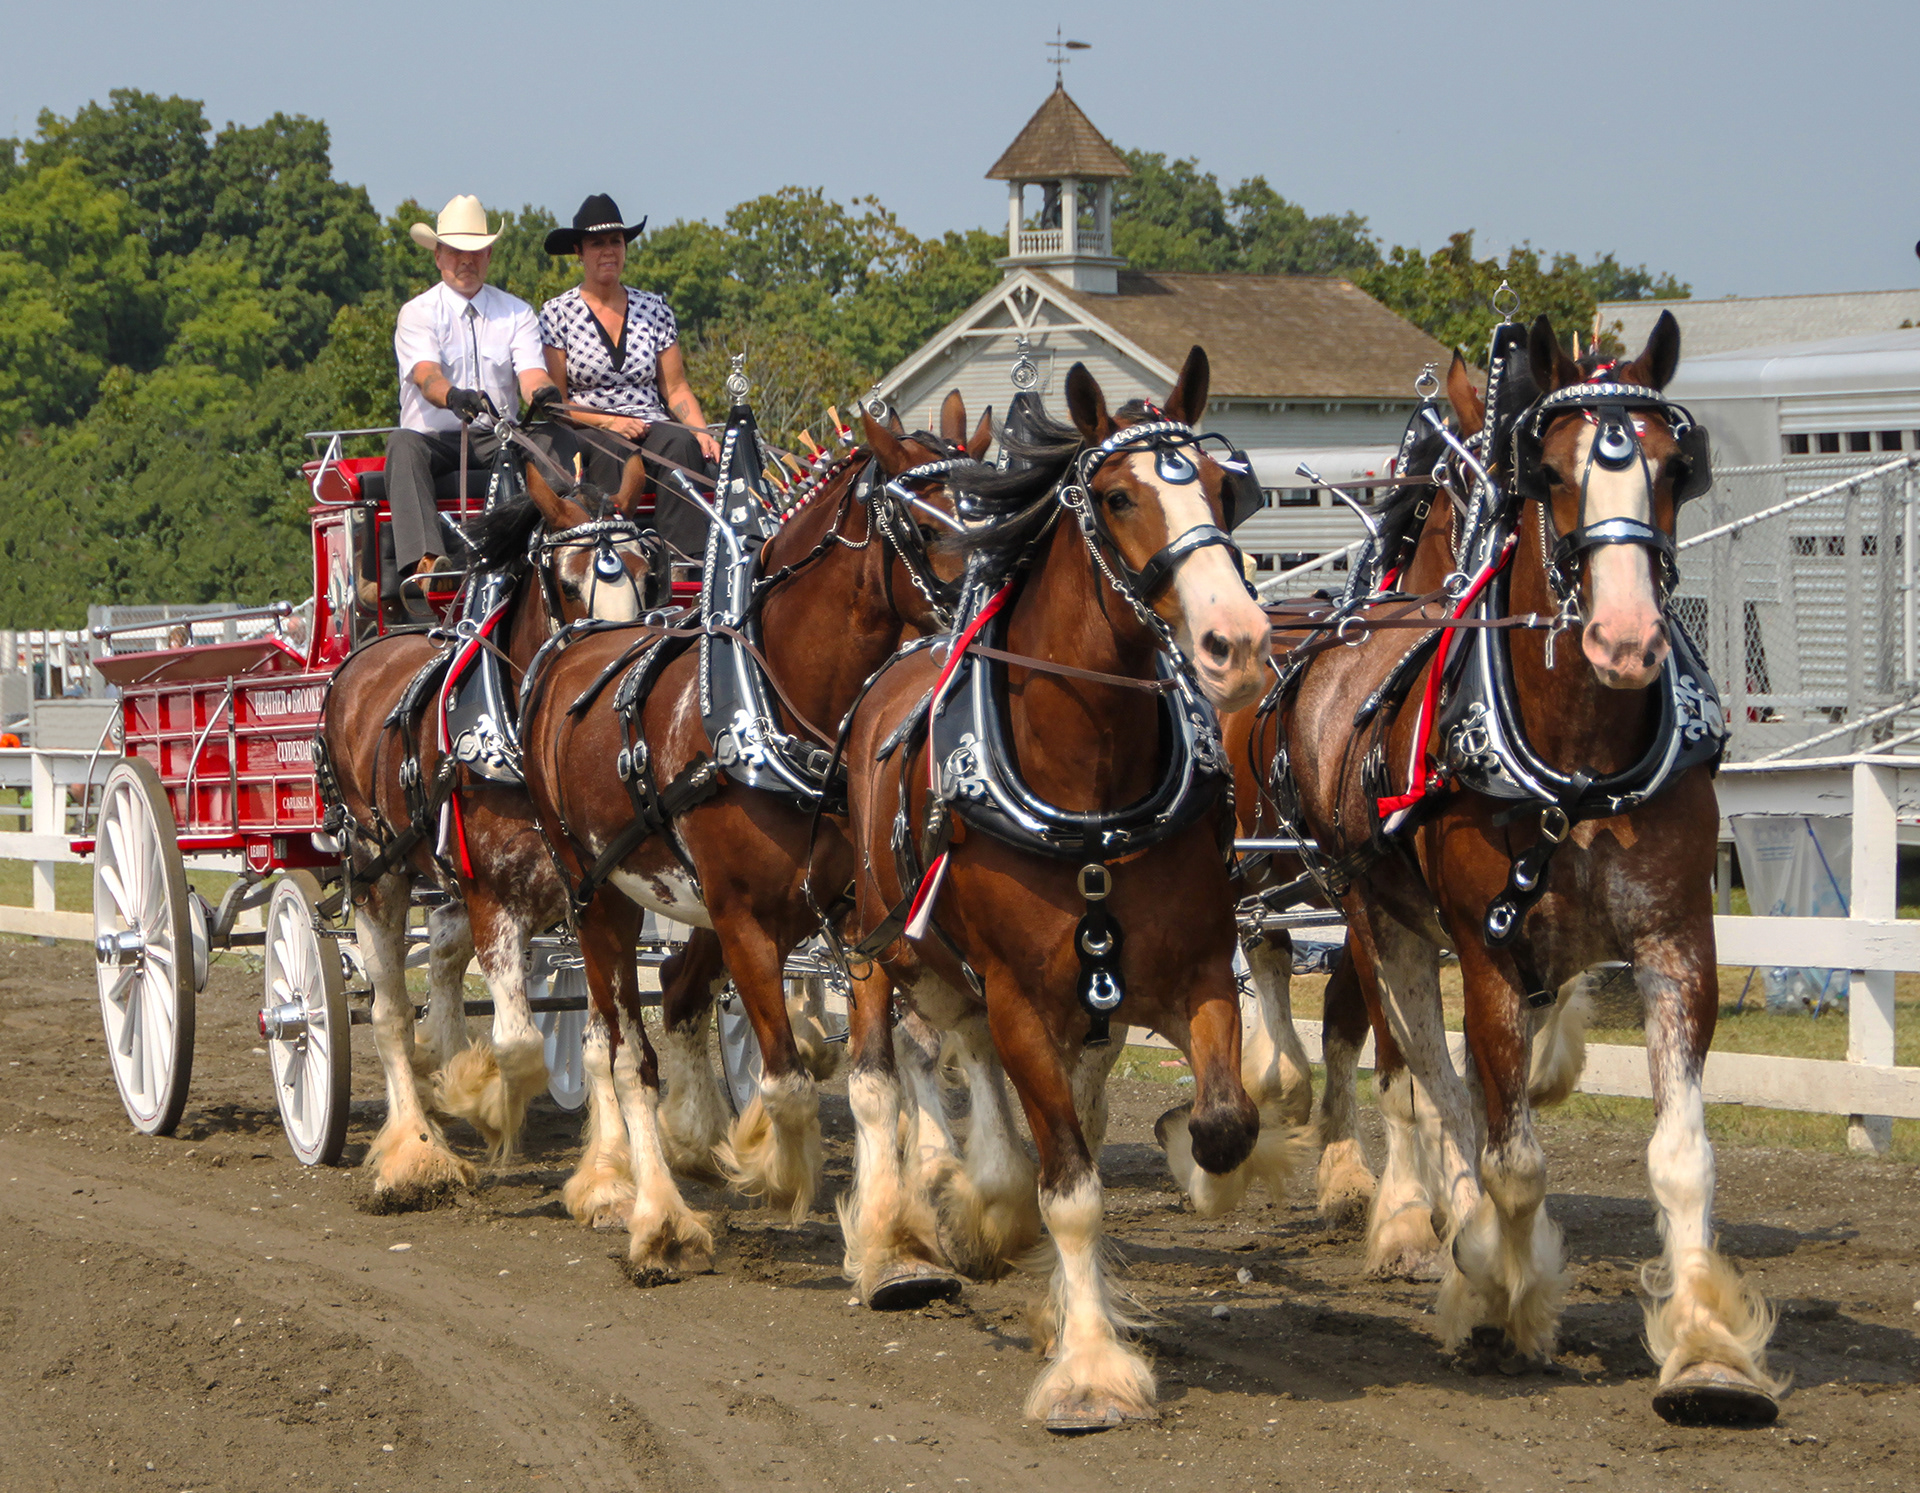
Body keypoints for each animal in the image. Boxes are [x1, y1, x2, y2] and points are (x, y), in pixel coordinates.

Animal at [316, 456, 659, 1202]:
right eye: (567, 584)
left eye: (648, 571)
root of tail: (363, 656)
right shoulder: (494, 899)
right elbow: (520, 1044)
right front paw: (482, 1098)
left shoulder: (588, 898)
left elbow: (600, 1039)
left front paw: (607, 1177)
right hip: (376, 868)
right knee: (388, 1012)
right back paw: (416, 1151)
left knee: (442, 962)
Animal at [515, 395, 989, 1279]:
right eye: (924, 525)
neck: (771, 712)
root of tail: (570, 647)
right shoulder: (743, 920)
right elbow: (788, 1081)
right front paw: (769, 1164)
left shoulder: (854, 916)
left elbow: (874, 1080)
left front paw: (893, 1240)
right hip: (596, 893)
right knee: (621, 1049)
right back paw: (652, 1212)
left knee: (677, 994)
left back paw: (684, 1144)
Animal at [839, 348, 1274, 1430]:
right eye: (1118, 496)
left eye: (1223, 488)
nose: (1241, 641)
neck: (1093, 792)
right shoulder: (1019, 992)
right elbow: (1068, 1185)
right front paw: (1089, 1369)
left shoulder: (1197, 972)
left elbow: (1222, 1124)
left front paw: (1186, 1151)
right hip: (880, 939)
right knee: (882, 1077)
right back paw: (897, 1245)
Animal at [1267, 311, 1780, 1424]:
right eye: (1545, 471)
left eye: (1679, 466)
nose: (1628, 637)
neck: (1578, 762)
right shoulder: (1486, 951)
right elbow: (1505, 1153)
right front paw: (1502, 1295)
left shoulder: (1676, 942)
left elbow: (1681, 1155)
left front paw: (1707, 1349)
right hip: (1378, 923)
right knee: (1431, 1079)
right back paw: (1453, 1242)